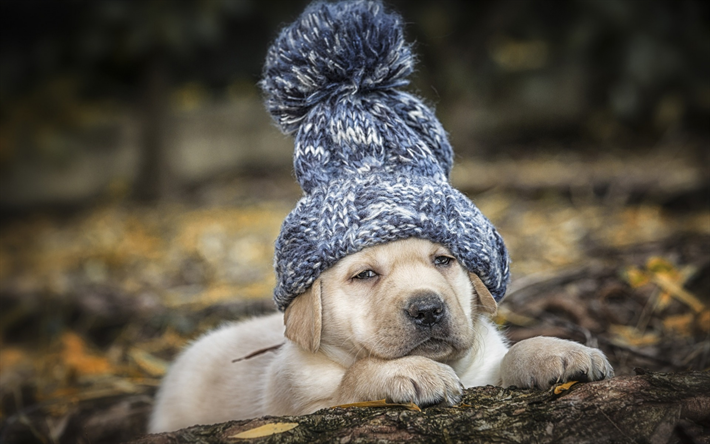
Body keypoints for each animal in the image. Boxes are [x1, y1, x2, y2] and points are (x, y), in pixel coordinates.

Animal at [147, 238, 616, 432]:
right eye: (365, 275)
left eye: (443, 260)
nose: (428, 308)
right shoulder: (303, 406)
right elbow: (357, 377)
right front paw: (408, 372)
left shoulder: (483, 367)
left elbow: (512, 356)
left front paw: (558, 351)